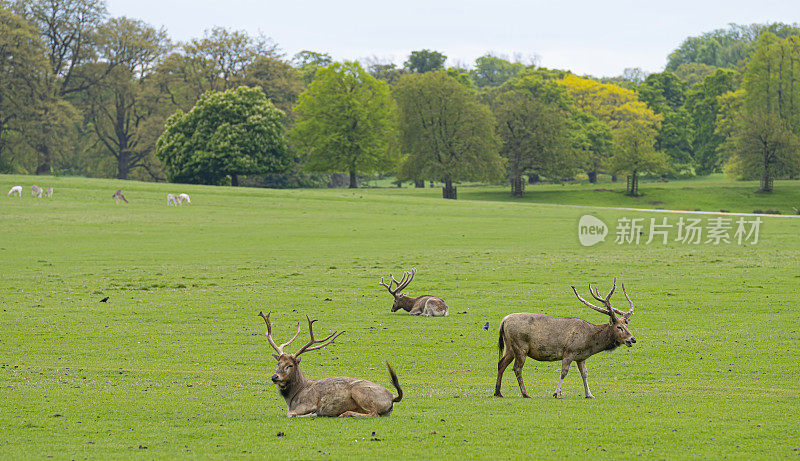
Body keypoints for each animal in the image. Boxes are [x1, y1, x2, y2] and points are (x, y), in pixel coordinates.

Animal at [260, 310, 404, 416]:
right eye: (278, 363)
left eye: (289, 365)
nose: (274, 377)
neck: (293, 397)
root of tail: (393, 397)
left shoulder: (309, 402)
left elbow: (290, 414)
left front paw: (314, 413)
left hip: (360, 392)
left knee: (373, 413)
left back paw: (345, 413)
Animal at [494, 276, 636, 398]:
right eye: (619, 327)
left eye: (627, 325)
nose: (632, 339)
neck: (589, 341)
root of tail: (503, 321)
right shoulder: (569, 351)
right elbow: (564, 371)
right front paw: (557, 393)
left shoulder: (581, 357)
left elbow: (584, 374)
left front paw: (589, 394)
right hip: (520, 346)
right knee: (517, 368)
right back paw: (525, 393)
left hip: (509, 347)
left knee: (501, 363)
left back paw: (498, 392)